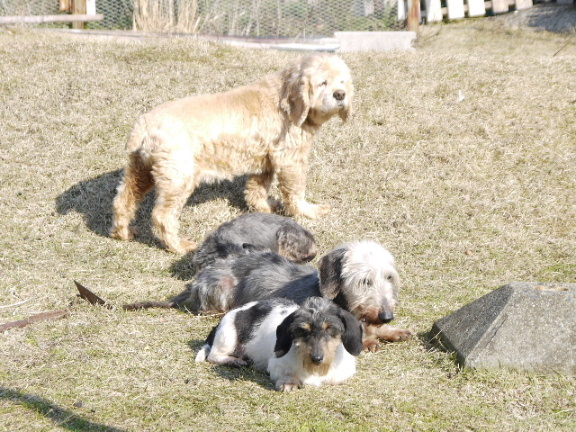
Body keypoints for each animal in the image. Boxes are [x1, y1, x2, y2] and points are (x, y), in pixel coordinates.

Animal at [107, 53, 352, 253]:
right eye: (322, 83)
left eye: (342, 81)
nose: (340, 94)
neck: (284, 98)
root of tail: (143, 125)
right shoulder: (290, 158)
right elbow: (295, 191)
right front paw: (308, 211)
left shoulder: (265, 160)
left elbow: (256, 189)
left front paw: (265, 209)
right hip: (178, 178)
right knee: (162, 216)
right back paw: (178, 246)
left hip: (140, 169)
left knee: (123, 200)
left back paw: (123, 233)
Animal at [125, 240, 414, 352]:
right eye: (365, 280)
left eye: (389, 277)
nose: (387, 316)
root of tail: (196, 281)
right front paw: (369, 340)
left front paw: (391, 331)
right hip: (222, 289)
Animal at [196, 296, 362, 392]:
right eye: (302, 330)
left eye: (330, 328)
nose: (317, 358)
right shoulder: (276, 365)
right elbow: (288, 374)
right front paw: (289, 383)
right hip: (228, 336)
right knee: (214, 356)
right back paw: (235, 361)